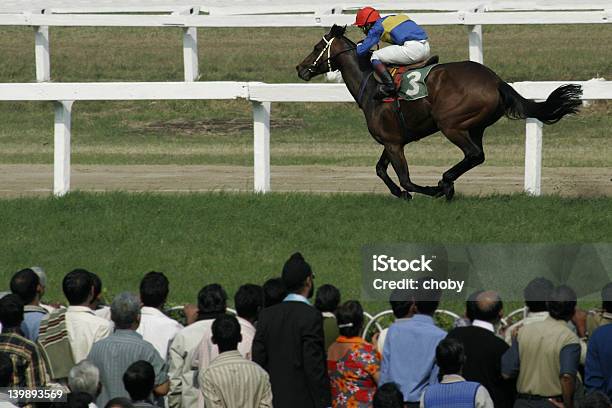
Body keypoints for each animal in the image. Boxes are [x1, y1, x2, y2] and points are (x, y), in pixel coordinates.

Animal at [296, 24, 584, 200]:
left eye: (316, 47)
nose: (300, 69)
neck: (371, 84)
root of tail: (496, 81)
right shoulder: (393, 140)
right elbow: (380, 170)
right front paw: (403, 194)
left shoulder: (393, 143)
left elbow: (405, 179)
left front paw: (426, 190)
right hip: (475, 126)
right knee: (476, 156)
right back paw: (448, 183)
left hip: (451, 124)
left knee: (473, 154)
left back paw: (445, 183)